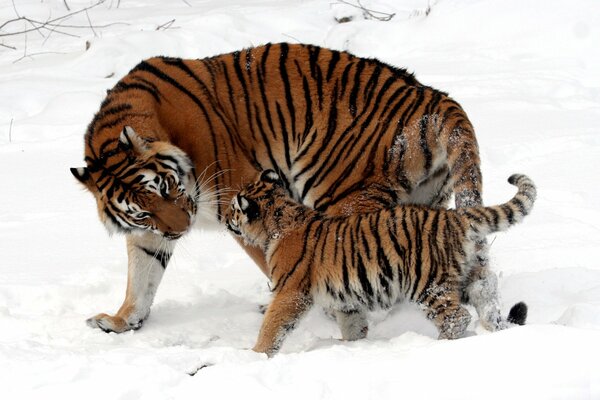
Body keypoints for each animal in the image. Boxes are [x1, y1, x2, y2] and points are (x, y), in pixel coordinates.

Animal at [70, 42, 502, 336]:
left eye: (166, 187)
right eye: (143, 210)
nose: (181, 229)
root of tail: (434, 97)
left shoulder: (239, 197)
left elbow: (275, 259)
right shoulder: (150, 232)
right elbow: (141, 275)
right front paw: (121, 321)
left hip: (343, 195)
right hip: (425, 202)